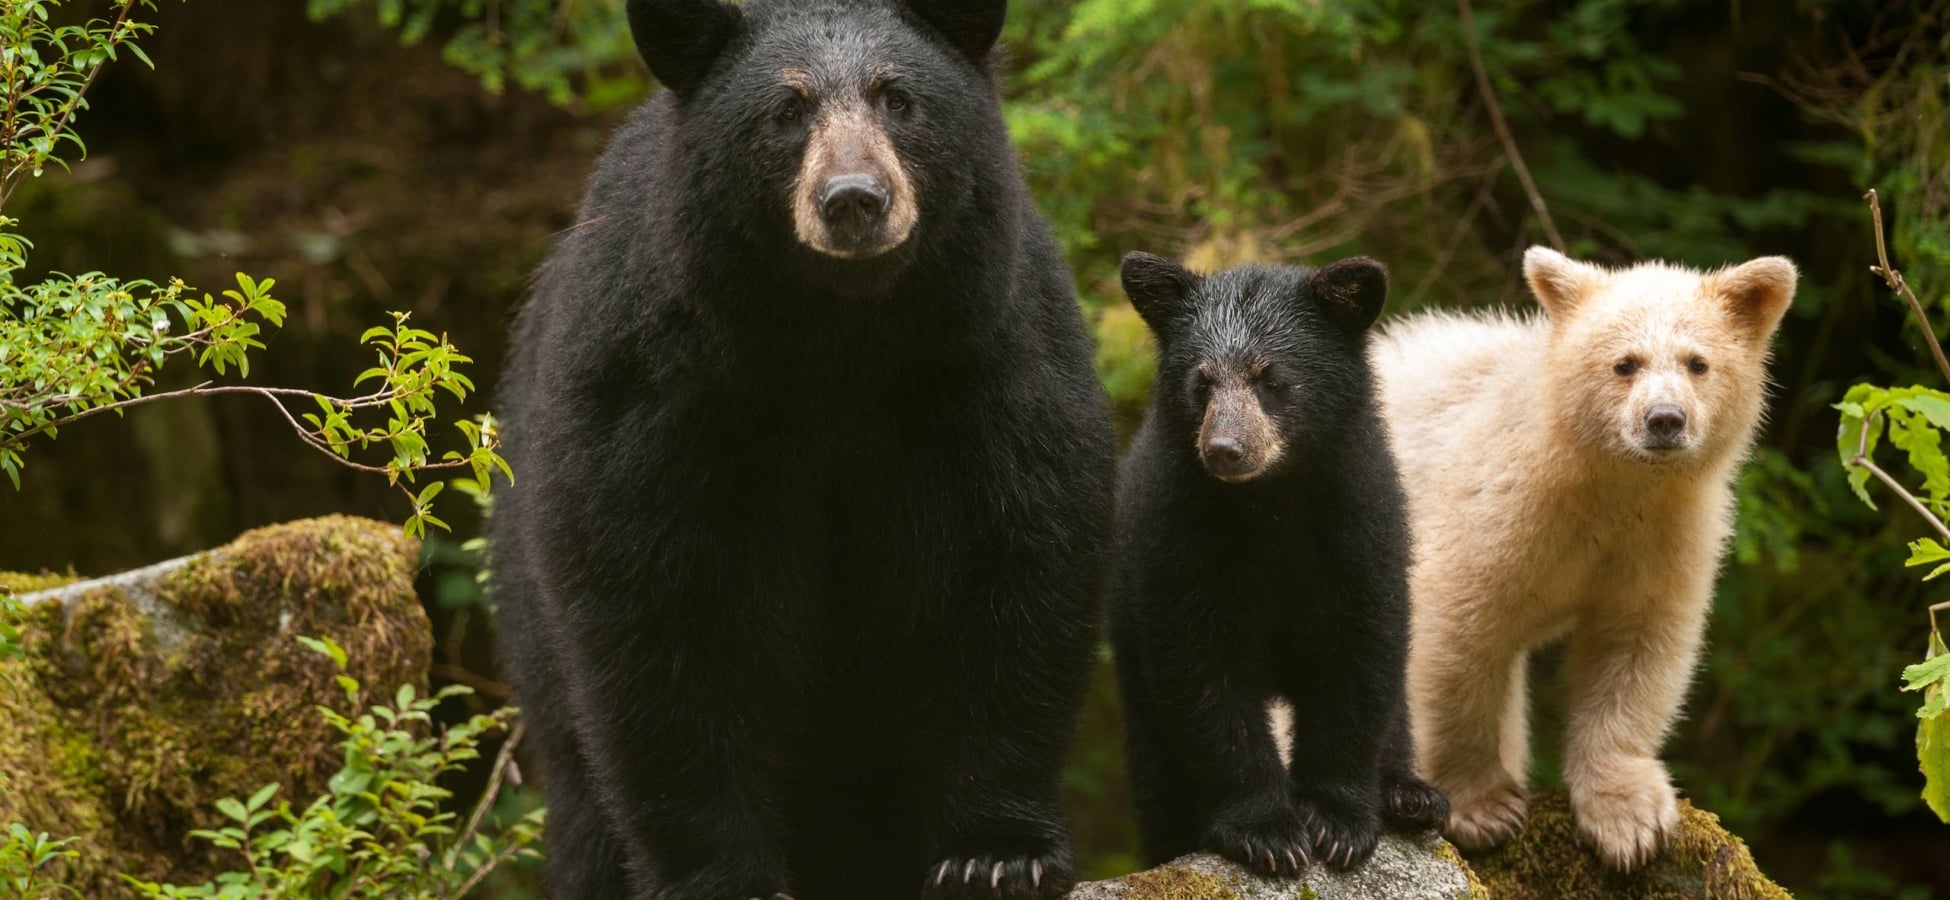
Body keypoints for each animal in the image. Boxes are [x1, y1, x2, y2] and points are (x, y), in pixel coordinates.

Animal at [485, 1, 1115, 898]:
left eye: (897, 98)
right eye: (786, 111)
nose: (854, 200)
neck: (838, 339)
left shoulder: (988, 361)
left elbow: (1011, 568)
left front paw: (997, 853)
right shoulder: (658, 388)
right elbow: (665, 606)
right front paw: (720, 874)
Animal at [1107, 252, 1449, 879]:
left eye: (1271, 379)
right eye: (1202, 381)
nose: (1224, 450)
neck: (1269, 503)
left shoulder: (1361, 526)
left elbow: (1358, 660)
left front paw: (1338, 820)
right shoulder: (1179, 538)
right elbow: (1203, 674)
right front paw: (1266, 831)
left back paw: (1410, 795)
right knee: (1155, 763)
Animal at [1370, 247, 1797, 870]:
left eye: (1698, 362)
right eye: (1625, 364)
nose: (1664, 419)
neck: (1602, 482)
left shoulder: (1662, 534)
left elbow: (1635, 645)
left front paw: (1630, 821)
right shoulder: (1496, 507)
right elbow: (1458, 634)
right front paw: (1481, 808)